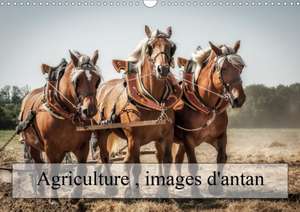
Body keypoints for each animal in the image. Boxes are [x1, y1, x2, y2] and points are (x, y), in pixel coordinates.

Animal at [92, 25, 179, 166]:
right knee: (105, 158)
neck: (153, 101)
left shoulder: (166, 138)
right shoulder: (134, 140)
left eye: (171, 47)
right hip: (102, 133)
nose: (163, 69)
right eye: (150, 46)